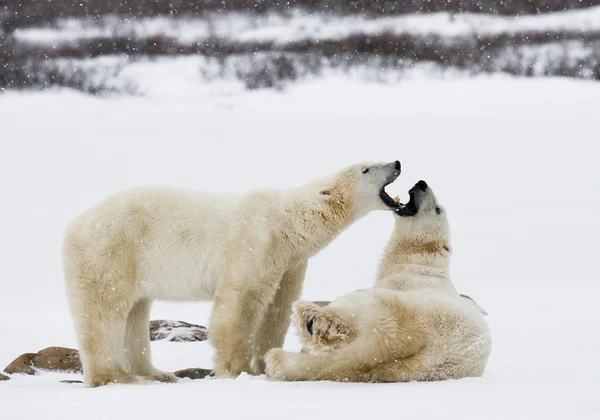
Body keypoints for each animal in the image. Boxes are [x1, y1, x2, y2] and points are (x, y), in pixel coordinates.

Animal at [64, 161, 404, 388]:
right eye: (366, 168)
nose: (397, 163)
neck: (288, 220)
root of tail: (75, 225)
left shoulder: (291, 263)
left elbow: (277, 310)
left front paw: (264, 364)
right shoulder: (257, 241)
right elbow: (240, 304)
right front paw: (238, 370)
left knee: (135, 312)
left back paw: (155, 373)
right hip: (112, 250)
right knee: (105, 311)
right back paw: (118, 377)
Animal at [264, 180, 490, 384]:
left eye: (437, 209)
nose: (422, 183)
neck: (418, 262)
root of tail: (429, 350)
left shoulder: (400, 283)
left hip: (402, 313)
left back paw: (311, 320)